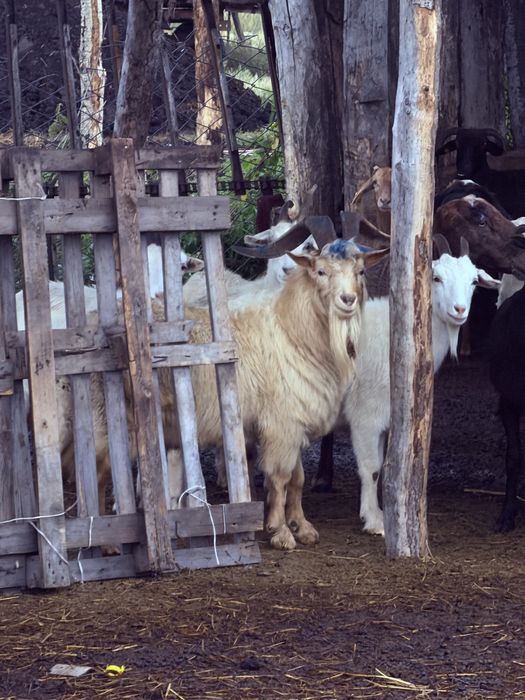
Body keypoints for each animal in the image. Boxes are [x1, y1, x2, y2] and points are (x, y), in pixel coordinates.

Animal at [346, 238, 500, 535]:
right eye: (436, 278)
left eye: (474, 281)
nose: (460, 310)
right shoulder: (365, 415)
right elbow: (371, 468)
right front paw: (375, 521)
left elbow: (380, 465)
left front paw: (370, 513)